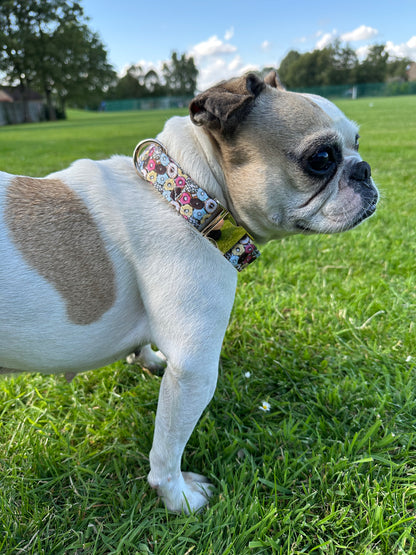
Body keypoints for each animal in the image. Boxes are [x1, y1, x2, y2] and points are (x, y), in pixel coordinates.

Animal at [0, 73, 376, 512]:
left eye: (357, 142)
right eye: (321, 158)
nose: (364, 169)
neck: (189, 195)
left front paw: (147, 358)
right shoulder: (196, 369)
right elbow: (168, 446)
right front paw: (178, 496)